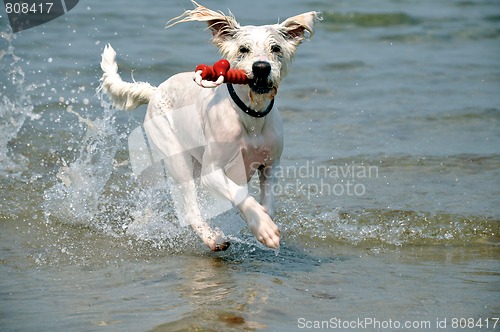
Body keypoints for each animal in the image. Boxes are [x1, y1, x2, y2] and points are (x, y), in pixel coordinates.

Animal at [99, 1, 320, 250]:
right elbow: (240, 194)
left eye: (275, 48)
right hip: (176, 156)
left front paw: (262, 220)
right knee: (190, 209)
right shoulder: (212, 171)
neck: (250, 116)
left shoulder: (271, 165)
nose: (261, 67)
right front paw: (264, 228)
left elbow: (266, 203)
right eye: (243, 49)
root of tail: (155, 92)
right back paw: (213, 238)